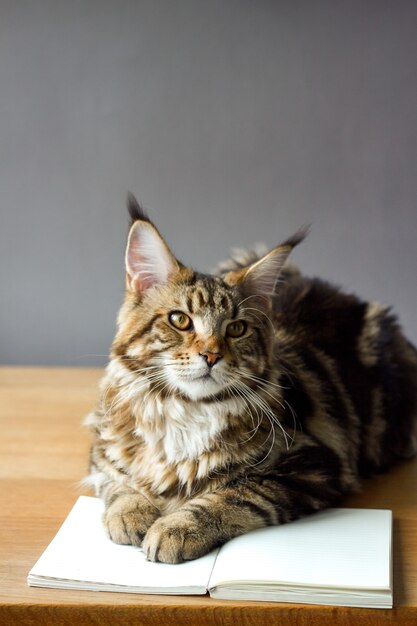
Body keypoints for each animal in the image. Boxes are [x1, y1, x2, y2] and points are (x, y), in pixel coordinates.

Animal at [84, 197, 416, 564]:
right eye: (180, 320)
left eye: (237, 328)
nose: (211, 356)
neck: (186, 411)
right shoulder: (102, 447)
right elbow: (117, 484)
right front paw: (131, 513)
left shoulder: (312, 465)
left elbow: (232, 495)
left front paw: (177, 528)